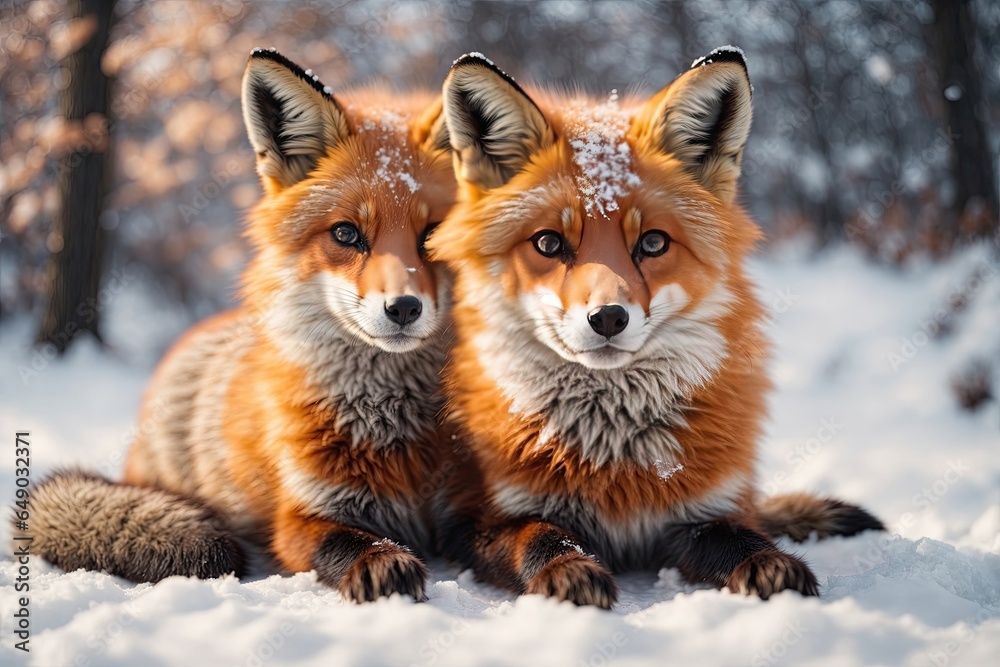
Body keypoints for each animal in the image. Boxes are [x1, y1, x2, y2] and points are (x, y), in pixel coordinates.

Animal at [27, 48, 472, 602]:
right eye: (346, 234)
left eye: (434, 234)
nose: (404, 308)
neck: (393, 423)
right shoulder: (304, 513)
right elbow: (347, 542)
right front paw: (382, 562)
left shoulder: (468, 506)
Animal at [428, 49, 884, 608]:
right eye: (549, 243)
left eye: (652, 243)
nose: (608, 317)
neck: (614, 452)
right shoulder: (479, 519)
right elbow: (541, 536)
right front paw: (568, 571)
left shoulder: (699, 511)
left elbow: (740, 536)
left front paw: (769, 565)